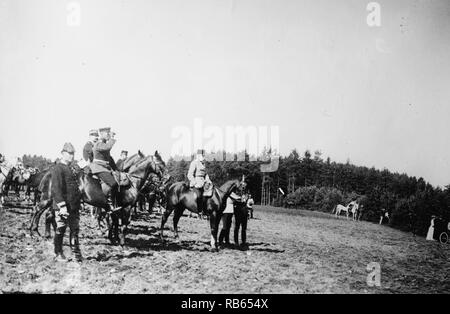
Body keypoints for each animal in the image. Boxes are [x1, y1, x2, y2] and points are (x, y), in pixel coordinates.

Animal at [29, 151, 170, 245]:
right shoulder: (126, 207)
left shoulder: (115, 209)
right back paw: (34, 232)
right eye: (161, 163)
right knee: (38, 210)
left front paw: (113, 238)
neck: (131, 180)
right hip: (49, 200)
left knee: (47, 214)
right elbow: (123, 224)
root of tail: (51, 172)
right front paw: (121, 242)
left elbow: (114, 223)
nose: (168, 178)